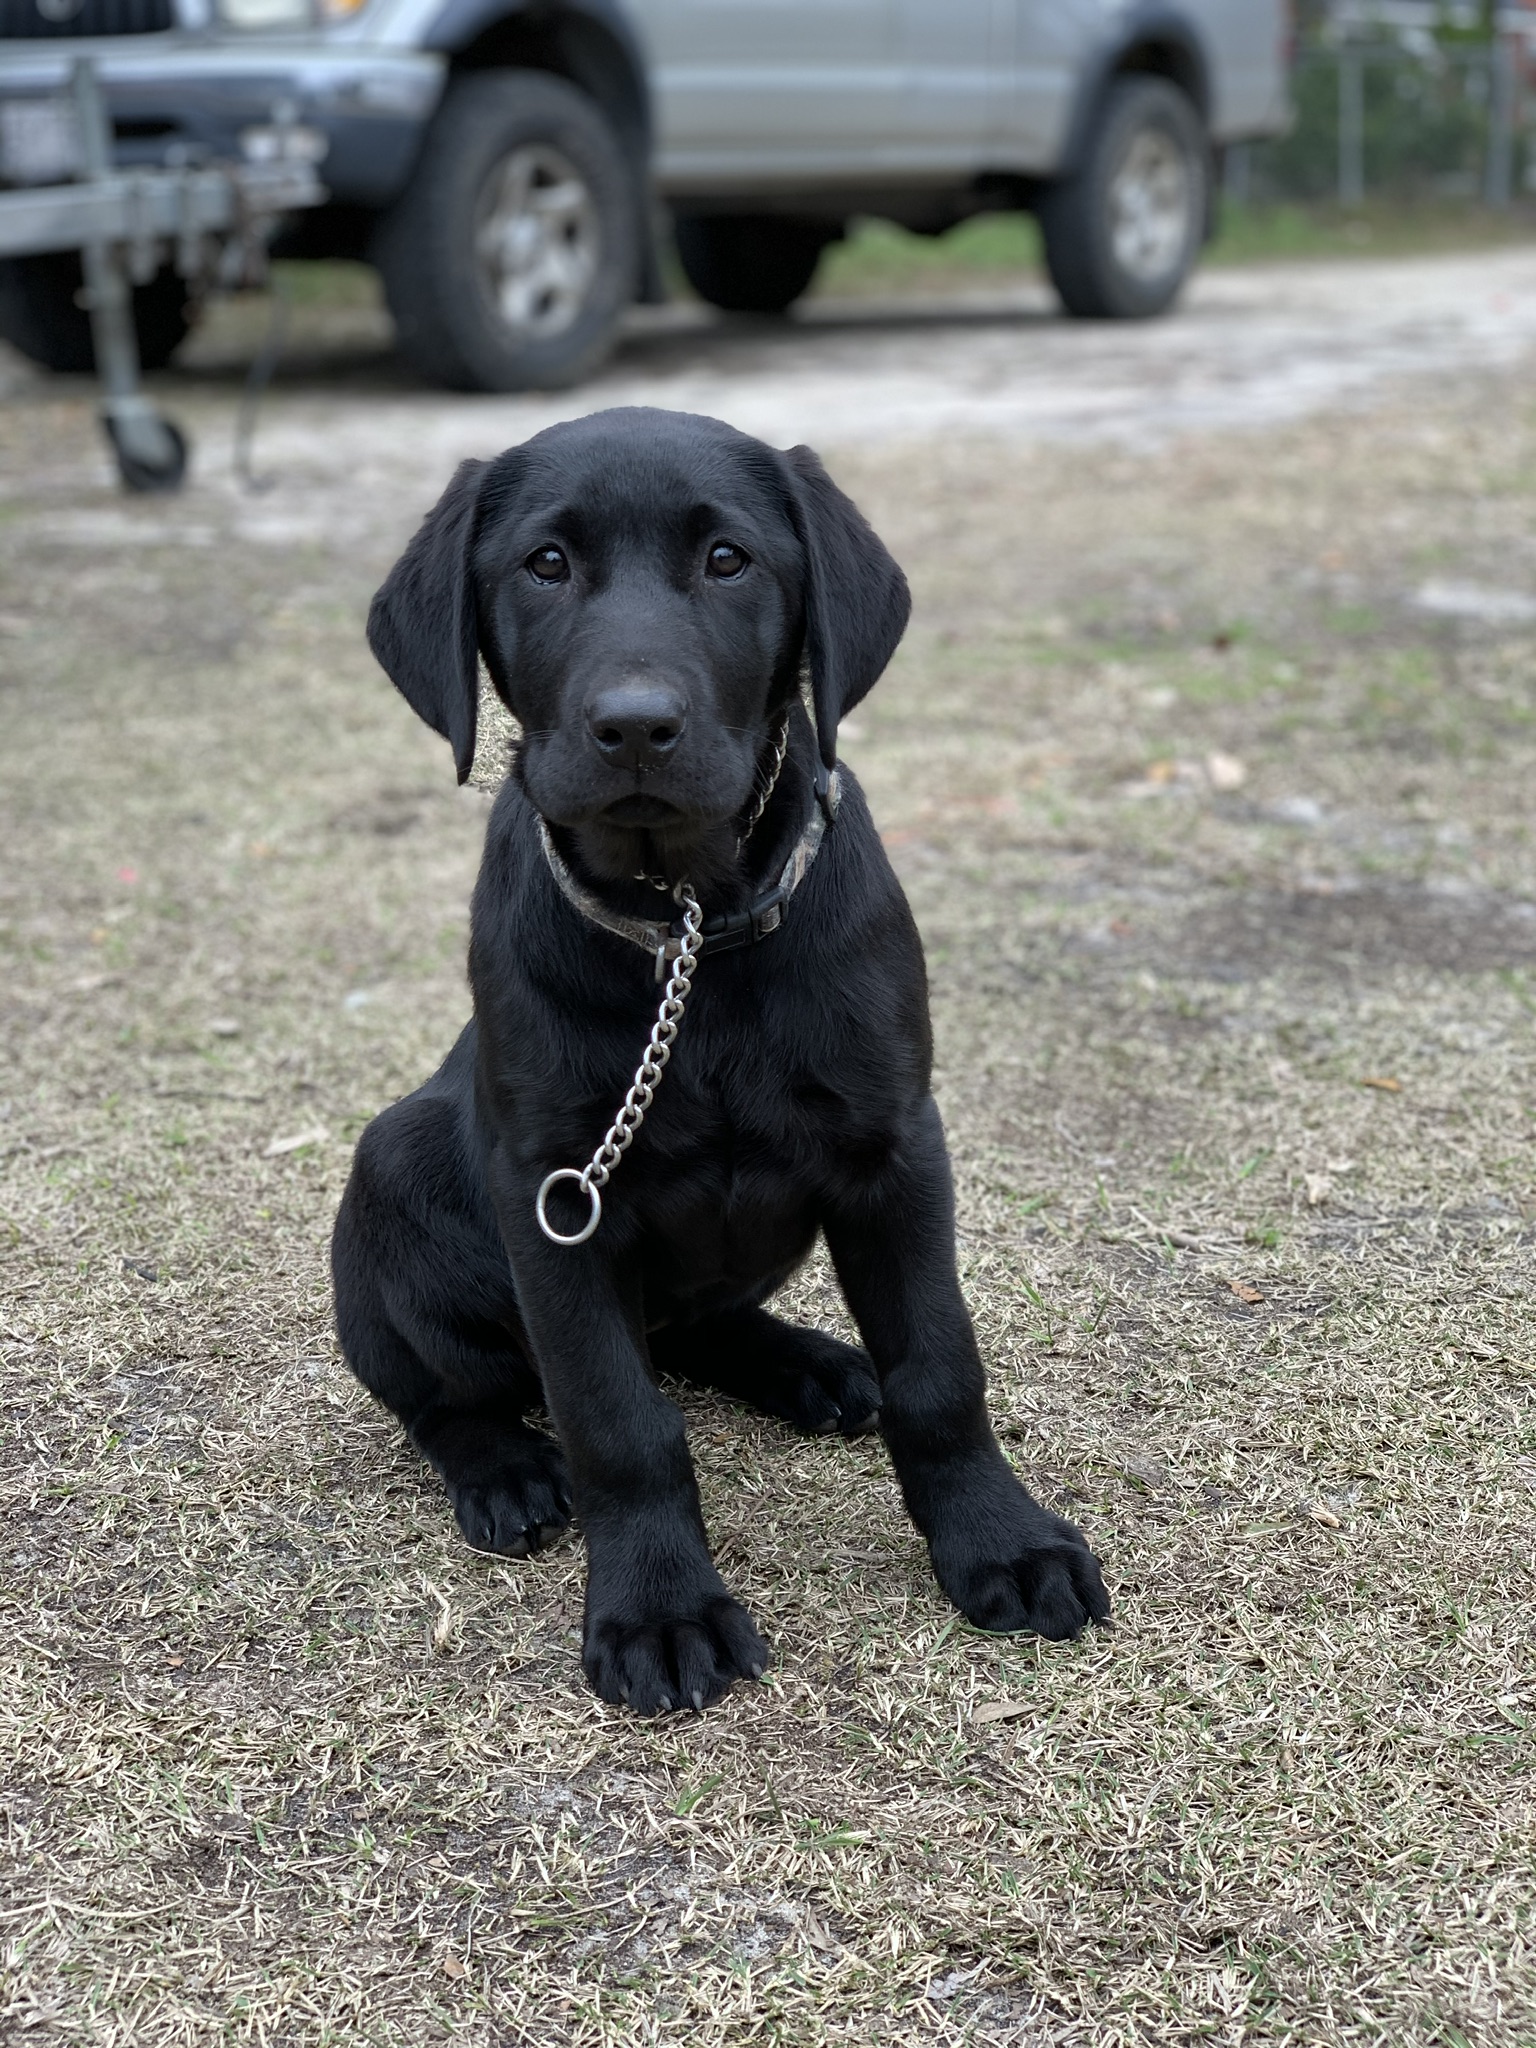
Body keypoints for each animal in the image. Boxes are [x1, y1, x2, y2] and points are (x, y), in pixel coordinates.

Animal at [333, 399, 1105, 1712]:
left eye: (728, 559)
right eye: (545, 563)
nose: (636, 724)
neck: (690, 916)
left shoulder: (897, 1146)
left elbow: (939, 1366)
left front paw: (999, 1537)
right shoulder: (553, 1193)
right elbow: (617, 1418)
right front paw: (659, 1607)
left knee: (696, 1328)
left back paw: (809, 1364)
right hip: (393, 1163)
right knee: (448, 1394)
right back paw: (503, 1471)